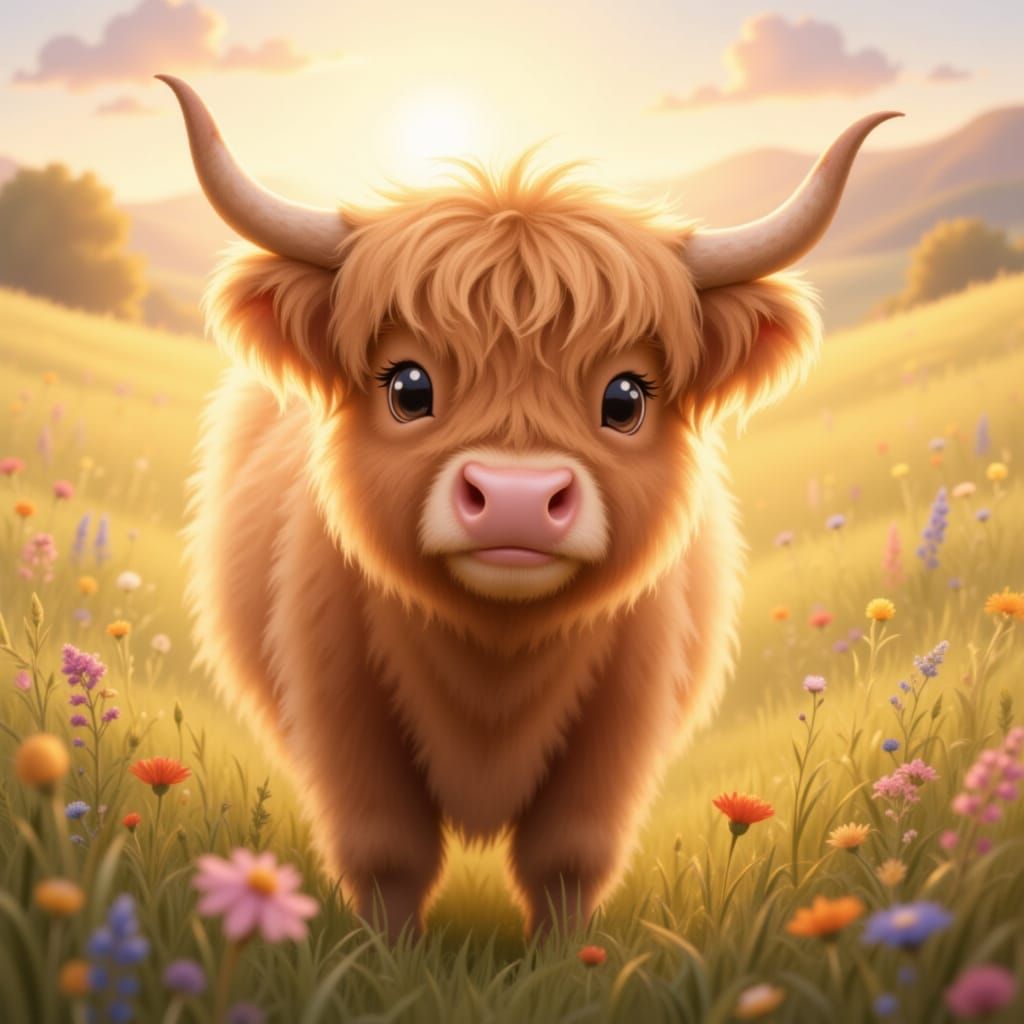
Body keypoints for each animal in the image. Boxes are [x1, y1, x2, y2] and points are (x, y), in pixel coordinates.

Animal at [161, 74, 897, 938]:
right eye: (408, 386)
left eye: (625, 397)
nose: (515, 500)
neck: (495, 666)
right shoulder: (341, 709)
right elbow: (388, 852)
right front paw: (384, 955)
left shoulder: (620, 726)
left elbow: (566, 857)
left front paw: (564, 958)